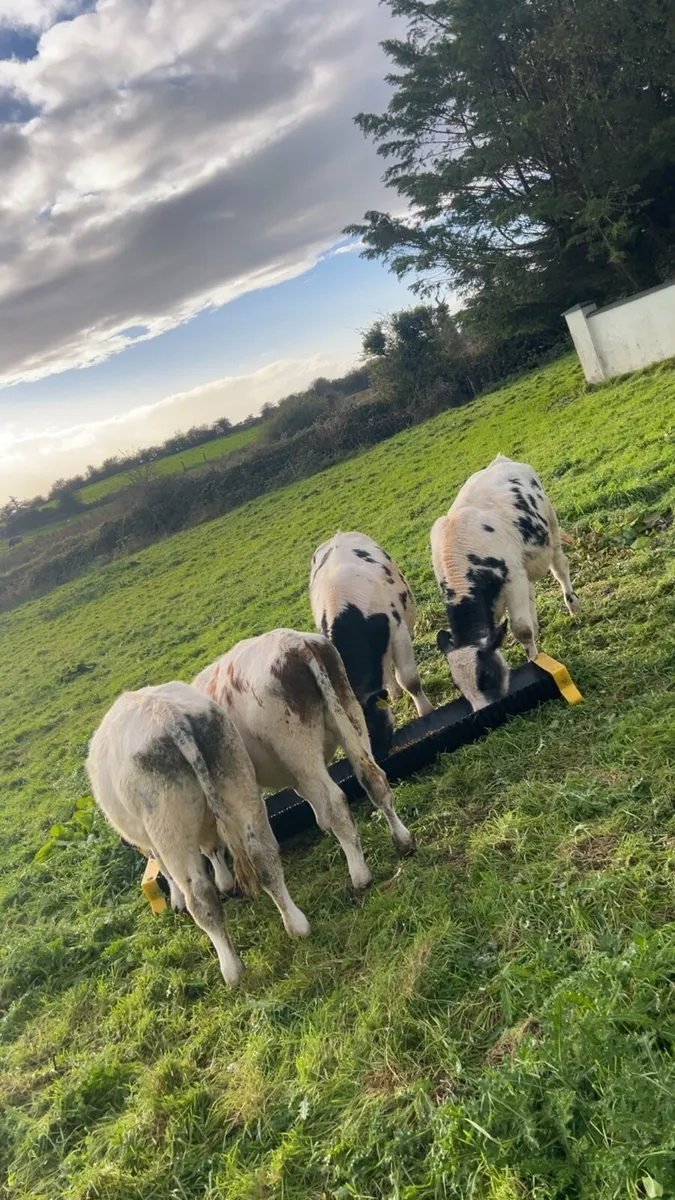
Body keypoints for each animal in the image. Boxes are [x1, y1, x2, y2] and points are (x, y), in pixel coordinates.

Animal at [86, 681, 310, 987]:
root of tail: (170, 718)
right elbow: (213, 848)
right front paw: (225, 882)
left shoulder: (155, 843)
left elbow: (167, 870)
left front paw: (178, 900)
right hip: (239, 784)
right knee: (264, 858)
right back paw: (297, 924)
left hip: (169, 827)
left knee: (200, 897)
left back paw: (231, 969)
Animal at [193, 629, 413, 891]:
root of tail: (300, 646)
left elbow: (211, 842)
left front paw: (223, 880)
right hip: (349, 718)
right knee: (374, 779)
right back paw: (403, 840)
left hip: (298, 747)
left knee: (336, 802)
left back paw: (360, 875)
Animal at [309, 531, 433, 759]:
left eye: (371, 724)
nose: (380, 754)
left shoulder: (398, 631)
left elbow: (409, 678)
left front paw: (426, 711)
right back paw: (393, 693)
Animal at [431, 454, 581, 710]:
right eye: (458, 687)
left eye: (486, 676)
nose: (484, 711)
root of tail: (501, 460)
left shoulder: (513, 579)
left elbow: (520, 628)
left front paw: (534, 659)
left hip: (551, 527)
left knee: (560, 568)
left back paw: (573, 606)